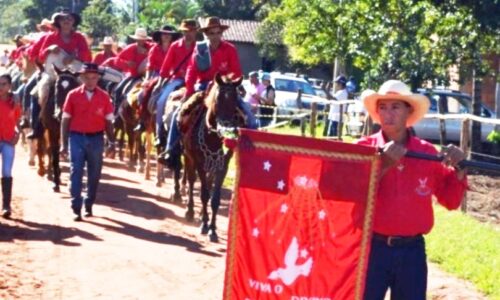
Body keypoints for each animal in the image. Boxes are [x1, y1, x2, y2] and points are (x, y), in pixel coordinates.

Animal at [182, 74, 244, 243]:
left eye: (235, 100)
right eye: (218, 99)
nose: (228, 129)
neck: (213, 137)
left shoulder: (223, 166)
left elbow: (214, 198)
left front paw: (213, 229)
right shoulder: (199, 163)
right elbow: (204, 195)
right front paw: (204, 224)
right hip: (189, 157)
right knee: (191, 181)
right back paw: (190, 211)